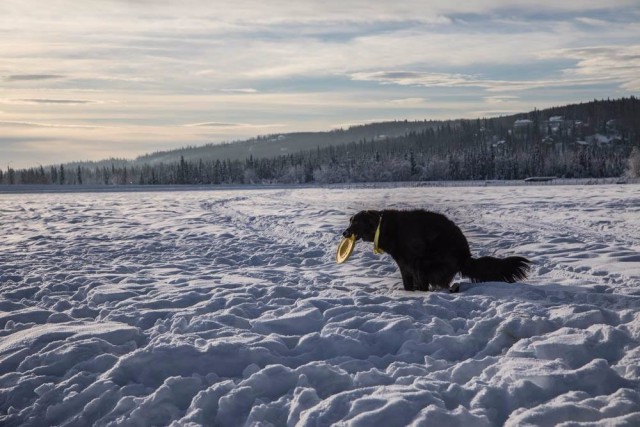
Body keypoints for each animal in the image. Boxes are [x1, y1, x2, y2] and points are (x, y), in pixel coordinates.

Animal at [342, 209, 532, 292]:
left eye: (356, 222)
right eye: (350, 221)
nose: (344, 233)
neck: (384, 227)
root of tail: (465, 256)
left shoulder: (413, 262)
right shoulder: (404, 265)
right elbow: (407, 283)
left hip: (426, 262)